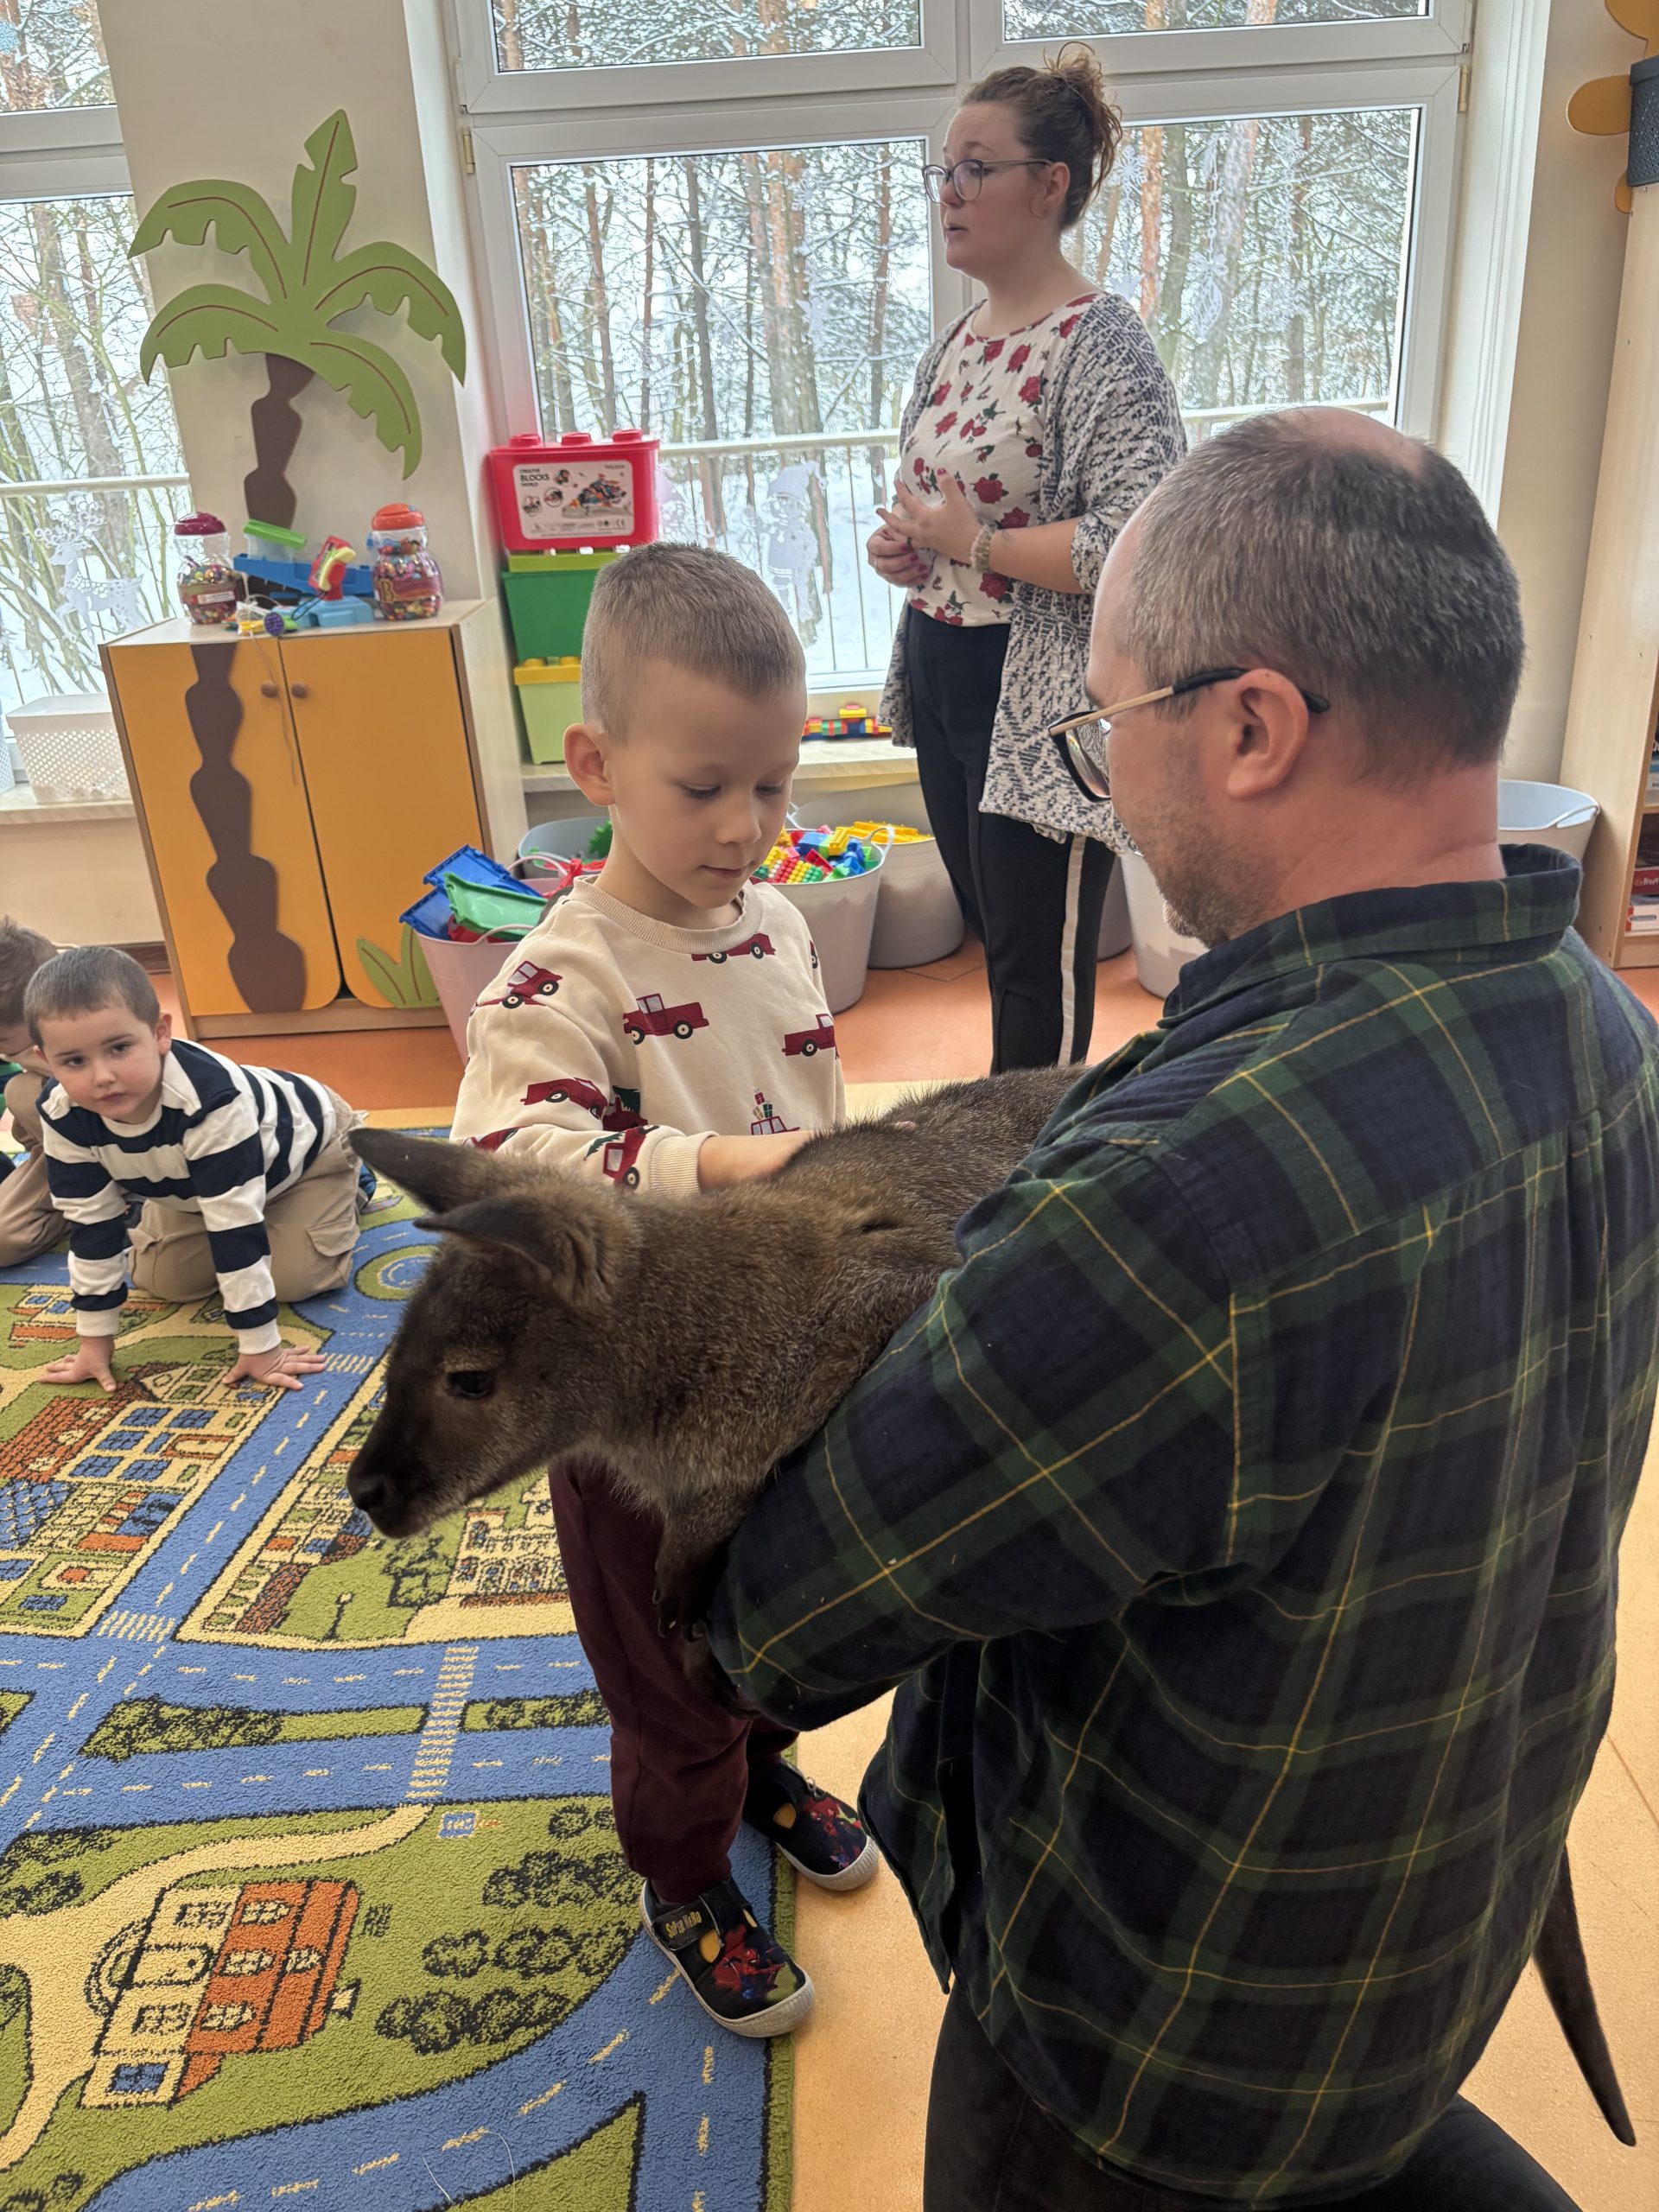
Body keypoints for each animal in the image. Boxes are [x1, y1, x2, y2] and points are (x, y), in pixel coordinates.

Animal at [346, 1071, 1634, 2150]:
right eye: (397, 1358)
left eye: (470, 1380)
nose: (363, 1494)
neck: (671, 1367)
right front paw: (678, 1586)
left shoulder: (882, 1314)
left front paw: (696, 1589)